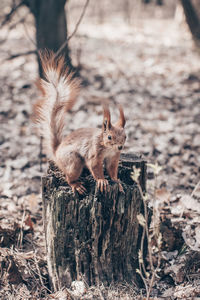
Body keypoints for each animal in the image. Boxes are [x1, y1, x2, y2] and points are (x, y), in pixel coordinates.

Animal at [33, 51, 126, 195]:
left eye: (125, 136)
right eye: (109, 137)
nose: (120, 147)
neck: (108, 148)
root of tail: (56, 153)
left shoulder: (114, 157)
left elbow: (112, 171)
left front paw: (117, 182)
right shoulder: (94, 153)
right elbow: (95, 167)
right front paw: (101, 181)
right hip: (73, 161)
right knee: (69, 176)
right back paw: (76, 185)